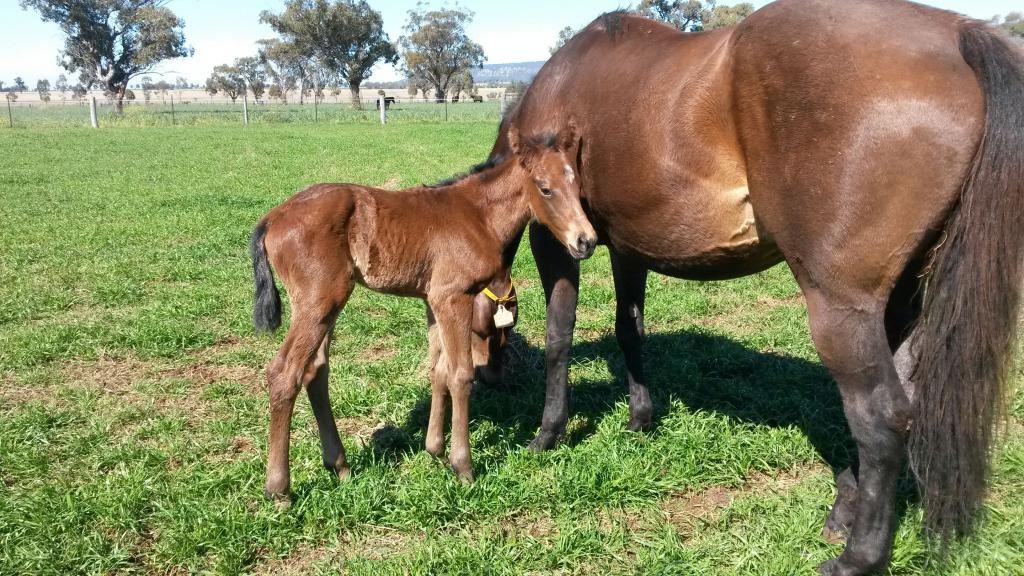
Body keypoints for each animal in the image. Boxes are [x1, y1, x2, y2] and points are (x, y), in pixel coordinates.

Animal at [248, 123, 598, 500]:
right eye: (545, 188)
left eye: (578, 185)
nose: (586, 241)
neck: (479, 215)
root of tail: (272, 218)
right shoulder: (453, 297)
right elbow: (461, 373)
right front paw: (463, 466)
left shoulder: (432, 301)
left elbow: (438, 369)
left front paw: (435, 450)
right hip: (317, 302)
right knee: (284, 373)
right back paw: (279, 490)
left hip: (328, 304)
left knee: (315, 370)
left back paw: (339, 466)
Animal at [505, 2, 1024, 569]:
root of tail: (959, 34)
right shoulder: (623, 245)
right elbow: (629, 329)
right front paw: (640, 418)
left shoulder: (555, 240)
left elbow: (559, 335)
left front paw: (548, 432)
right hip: (903, 298)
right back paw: (847, 512)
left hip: (841, 308)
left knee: (881, 416)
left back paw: (858, 555)